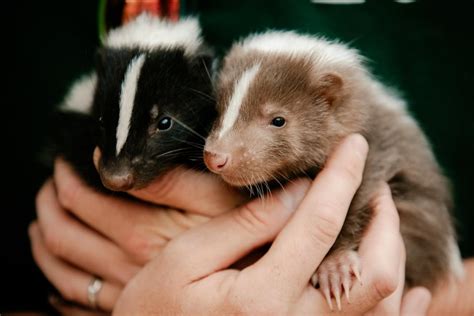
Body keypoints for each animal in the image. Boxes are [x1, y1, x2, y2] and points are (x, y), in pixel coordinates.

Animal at [204, 30, 462, 308]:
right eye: (217, 111)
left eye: (278, 120)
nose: (216, 156)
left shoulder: (378, 151)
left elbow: (359, 200)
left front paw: (334, 266)